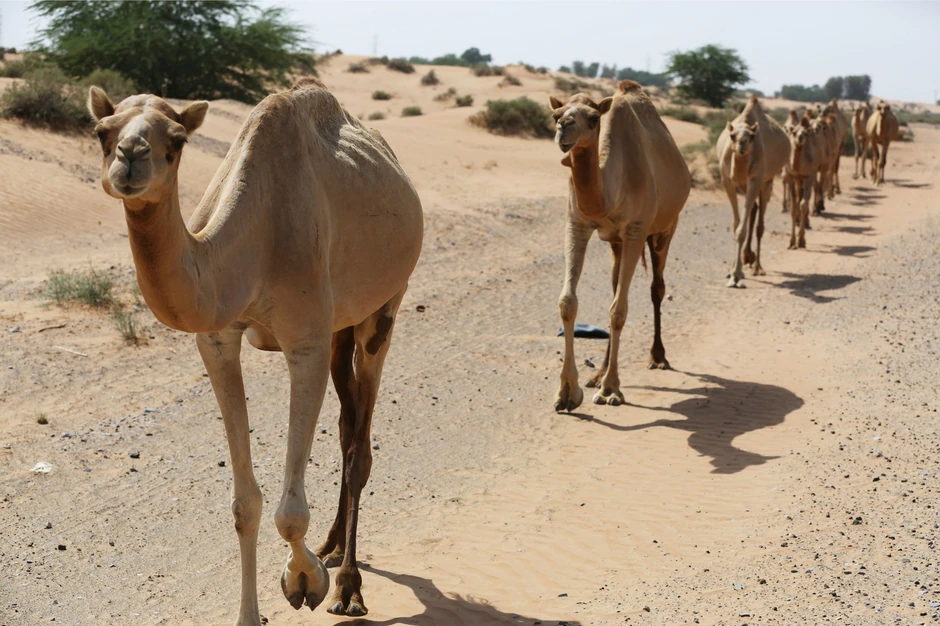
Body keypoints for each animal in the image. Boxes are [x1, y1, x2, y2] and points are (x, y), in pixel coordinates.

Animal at [86, 78, 423, 624]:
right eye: (101, 131)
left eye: (176, 140)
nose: (131, 157)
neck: (256, 239)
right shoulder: (217, 341)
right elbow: (245, 505)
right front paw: (251, 611)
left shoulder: (304, 341)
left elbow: (291, 512)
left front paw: (305, 580)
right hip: (341, 325)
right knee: (348, 423)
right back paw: (332, 546)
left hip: (385, 304)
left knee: (359, 445)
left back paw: (348, 586)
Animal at [548, 80, 690, 410]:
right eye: (556, 114)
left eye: (593, 118)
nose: (563, 128)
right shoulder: (577, 225)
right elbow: (568, 302)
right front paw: (568, 393)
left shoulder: (636, 230)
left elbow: (619, 311)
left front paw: (611, 389)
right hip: (616, 242)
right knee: (616, 287)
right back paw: (597, 374)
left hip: (666, 227)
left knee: (657, 288)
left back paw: (657, 357)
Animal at [715, 95, 789, 287]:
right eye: (732, 136)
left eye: (753, 136)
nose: (742, 144)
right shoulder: (727, 181)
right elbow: (736, 225)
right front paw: (731, 271)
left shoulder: (756, 179)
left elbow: (742, 229)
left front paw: (736, 275)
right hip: (744, 184)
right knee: (753, 209)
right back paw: (747, 257)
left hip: (767, 181)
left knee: (760, 225)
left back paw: (757, 266)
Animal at [785, 117, 827, 249]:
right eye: (794, 132)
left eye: (805, 133)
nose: (800, 138)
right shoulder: (791, 176)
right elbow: (793, 206)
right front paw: (791, 241)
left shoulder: (808, 176)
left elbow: (803, 205)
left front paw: (801, 240)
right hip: (798, 180)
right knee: (799, 197)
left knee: (808, 195)